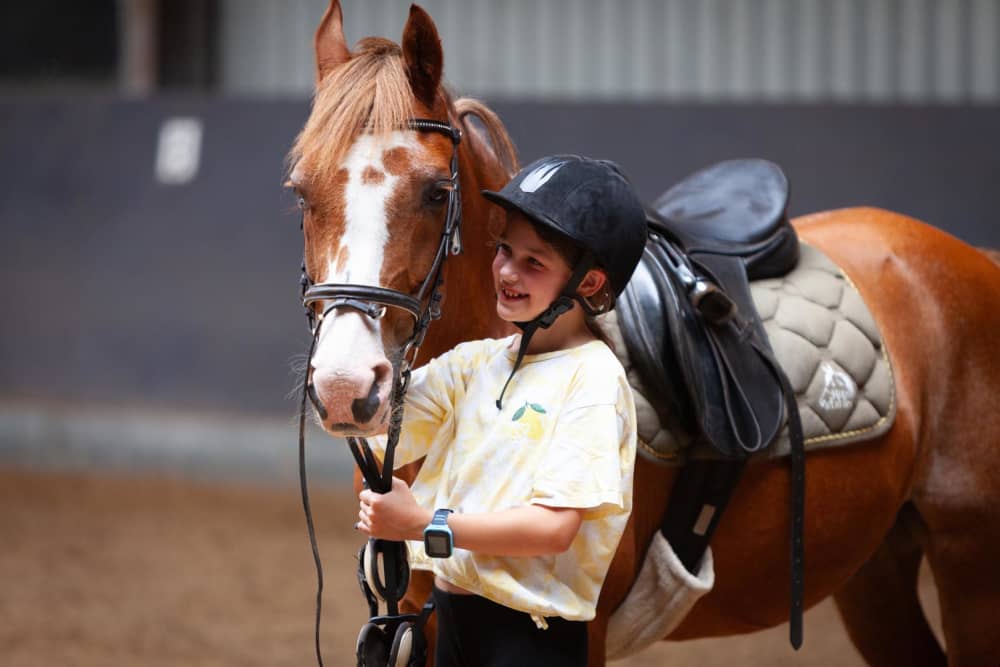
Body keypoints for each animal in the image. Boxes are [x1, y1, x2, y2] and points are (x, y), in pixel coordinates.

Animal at [288, 2, 1000, 664]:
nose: (346, 385)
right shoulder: (420, 614)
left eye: (437, 192)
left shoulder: (586, 629)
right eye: (299, 191)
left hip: (970, 570)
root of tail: (973, 258)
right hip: (874, 568)